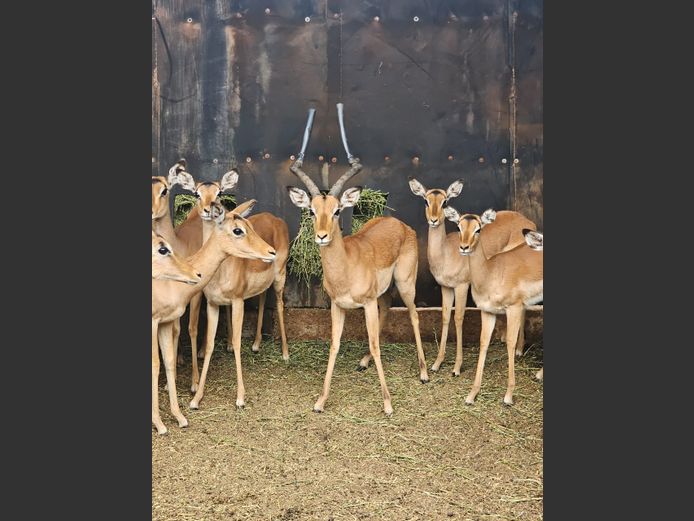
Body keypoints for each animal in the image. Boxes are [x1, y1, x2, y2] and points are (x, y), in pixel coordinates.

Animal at [152, 201, 277, 435]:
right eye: (238, 230)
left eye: (250, 225)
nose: (270, 251)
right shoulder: (154, 322)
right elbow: (156, 364)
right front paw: (160, 423)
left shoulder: (166, 321)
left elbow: (169, 361)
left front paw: (180, 416)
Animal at [188, 170, 289, 409]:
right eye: (238, 229)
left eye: (219, 192)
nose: (270, 251)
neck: (219, 273)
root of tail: (276, 219)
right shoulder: (213, 304)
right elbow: (209, 345)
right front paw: (196, 398)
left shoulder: (237, 301)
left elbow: (235, 341)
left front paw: (241, 397)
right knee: (262, 297)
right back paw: (256, 344)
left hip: (280, 277)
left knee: (280, 305)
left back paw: (285, 353)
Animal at [287, 159, 429, 416]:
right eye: (312, 210)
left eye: (337, 210)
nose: (322, 236)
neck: (346, 269)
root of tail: (399, 223)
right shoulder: (338, 306)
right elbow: (334, 345)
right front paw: (320, 401)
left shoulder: (368, 303)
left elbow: (375, 344)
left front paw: (388, 404)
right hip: (383, 292)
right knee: (388, 307)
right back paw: (363, 362)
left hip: (405, 284)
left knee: (414, 316)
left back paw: (423, 373)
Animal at [443, 206, 542, 405]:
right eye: (458, 226)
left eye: (478, 228)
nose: (464, 247)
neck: (491, 272)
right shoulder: (488, 312)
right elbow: (483, 343)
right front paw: (472, 394)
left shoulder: (514, 308)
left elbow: (510, 343)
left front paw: (508, 396)